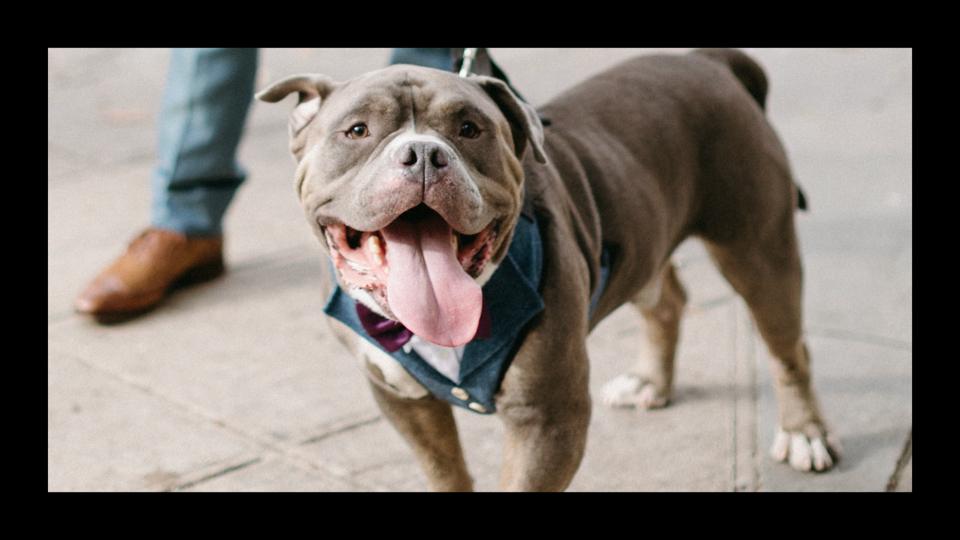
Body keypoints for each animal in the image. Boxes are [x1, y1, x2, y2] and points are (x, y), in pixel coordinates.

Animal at [256, 48, 840, 492]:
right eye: (357, 130)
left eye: (469, 128)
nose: (422, 153)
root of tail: (707, 61)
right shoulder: (404, 400)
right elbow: (445, 471)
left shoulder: (548, 417)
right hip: (642, 233)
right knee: (666, 299)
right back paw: (649, 382)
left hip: (756, 246)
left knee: (788, 347)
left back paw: (805, 433)